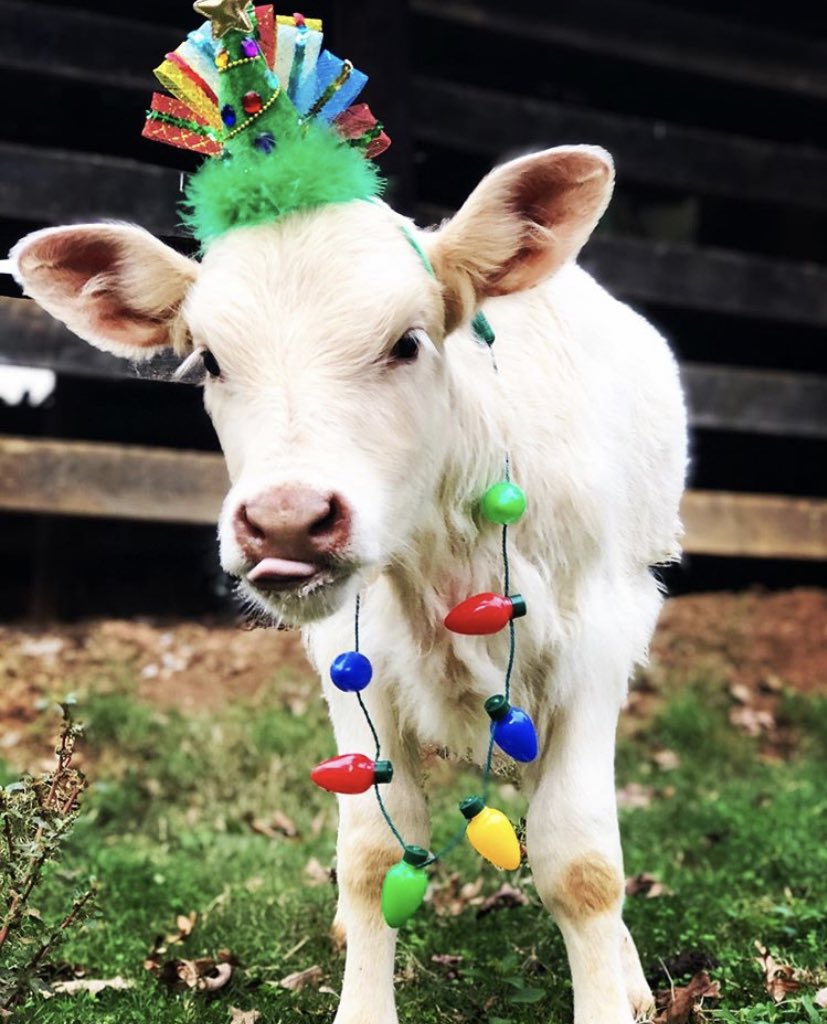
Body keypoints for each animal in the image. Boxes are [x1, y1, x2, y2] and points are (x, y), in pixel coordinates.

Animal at [11, 144, 687, 1024]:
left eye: (407, 343)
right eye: (211, 360)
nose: (285, 523)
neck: (445, 556)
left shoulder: (596, 641)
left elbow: (581, 863)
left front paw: (610, 992)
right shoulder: (349, 652)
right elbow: (369, 855)